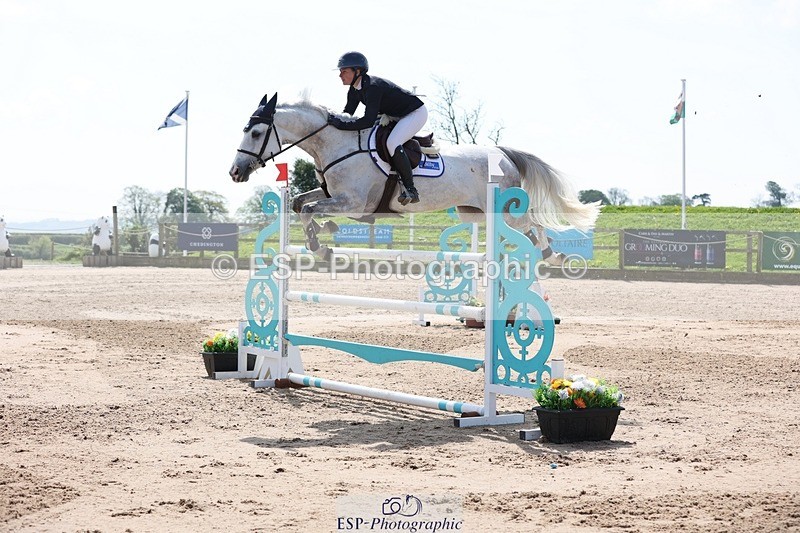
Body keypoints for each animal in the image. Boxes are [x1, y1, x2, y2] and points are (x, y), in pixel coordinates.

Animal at [228, 94, 599, 262]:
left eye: (256, 132)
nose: (235, 172)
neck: (336, 143)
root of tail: (503, 154)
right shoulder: (334, 197)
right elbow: (298, 203)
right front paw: (325, 234)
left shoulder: (353, 203)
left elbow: (307, 210)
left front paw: (320, 245)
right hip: (475, 214)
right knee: (526, 228)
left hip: (505, 211)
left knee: (533, 223)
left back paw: (551, 254)